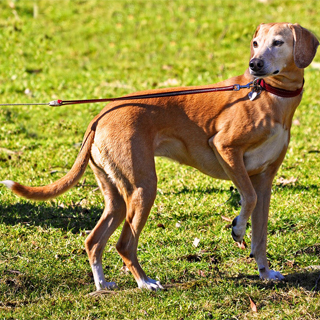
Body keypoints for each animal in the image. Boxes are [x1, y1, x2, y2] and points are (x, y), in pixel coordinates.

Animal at [1, 22, 318, 292]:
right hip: (144, 188)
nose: (255, 65)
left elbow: (261, 234)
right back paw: (144, 283)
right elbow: (247, 200)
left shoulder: (265, 181)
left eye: (277, 42)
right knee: (124, 245)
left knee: (93, 241)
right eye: (255, 43)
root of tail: (101, 115)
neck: (269, 96)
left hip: (118, 198)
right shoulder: (226, 149)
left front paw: (265, 272)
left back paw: (102, 286)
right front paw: (238, 228)